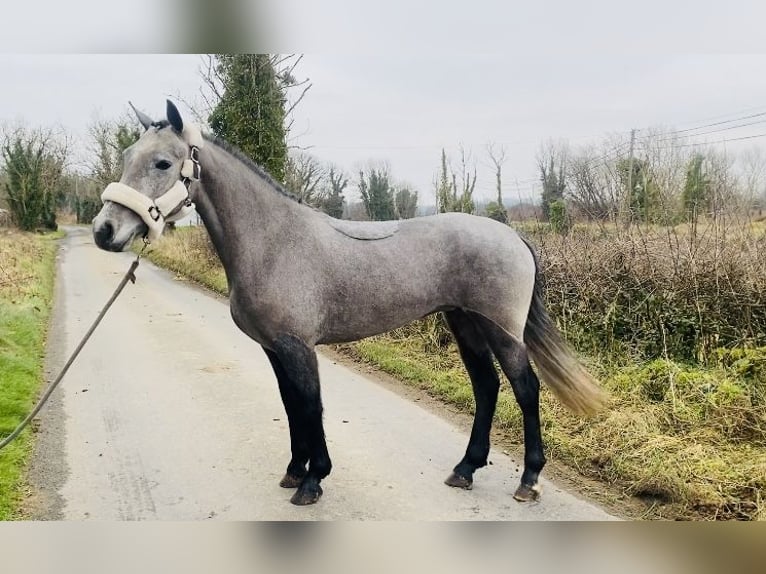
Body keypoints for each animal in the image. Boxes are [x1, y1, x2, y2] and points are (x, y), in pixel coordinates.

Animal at [91, 101, 608, 506]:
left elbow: (311, 406)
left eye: (162, 163)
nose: (104, 231)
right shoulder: (275, 348)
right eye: (127, 156)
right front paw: (295, 471)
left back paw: (529, 480)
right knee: (486, 387)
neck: (274, 241)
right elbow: (292, 406)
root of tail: (512, 235)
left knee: (525, 389)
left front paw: (313, 480)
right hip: (464, 324)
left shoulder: (298, 346)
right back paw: (465, 470)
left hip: (501, 329)